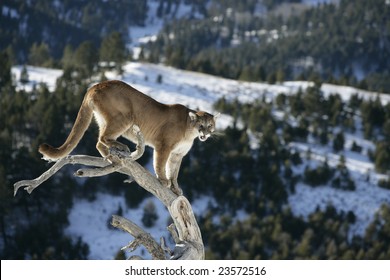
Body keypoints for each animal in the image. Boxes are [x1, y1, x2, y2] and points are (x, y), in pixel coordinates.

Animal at [39, 80, 218, 195]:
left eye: (210, 126)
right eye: (201, 125)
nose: (205, 134)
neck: (189, 132)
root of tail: (96, 85)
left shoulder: (177, 154)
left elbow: (174, 171)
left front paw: (175, 188)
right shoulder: (164, 146)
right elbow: (160, 164)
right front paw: (163, 180)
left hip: (105, 120)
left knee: (99, 142)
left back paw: (112, 159)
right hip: (124, 117)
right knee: (103, 138)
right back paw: (120, 149)